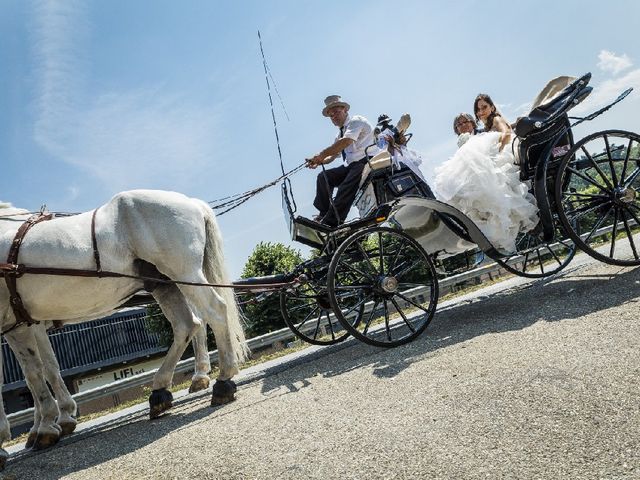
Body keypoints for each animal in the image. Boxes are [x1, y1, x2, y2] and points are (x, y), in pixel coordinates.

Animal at [0, 190, 249, 458]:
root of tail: (193, 203)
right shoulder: (27, 324)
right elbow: (46, 369)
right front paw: (50, 423)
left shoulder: (20, 324)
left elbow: (35, 374)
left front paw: (45, 426)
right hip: (163, 283)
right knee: (188, 324)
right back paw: (163, 390)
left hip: (184, 274)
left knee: (214, 312)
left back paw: (222, 380)